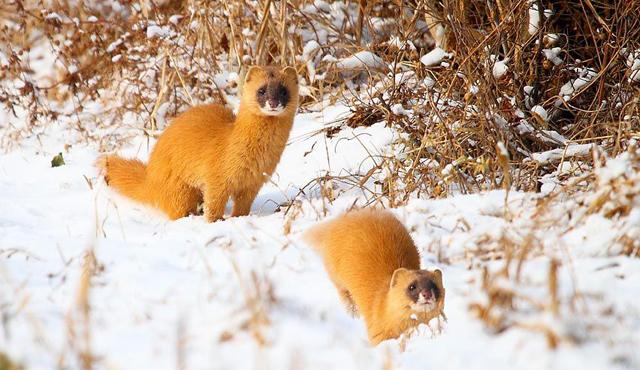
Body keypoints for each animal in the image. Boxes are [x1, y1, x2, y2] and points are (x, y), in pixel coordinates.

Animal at [97, 66, 300, 223]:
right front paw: (215, 221)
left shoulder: (254, 182)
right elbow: (214, 202)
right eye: (261, 90)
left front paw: (238, 218)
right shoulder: (215, 177)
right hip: (179, 187)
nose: (273, 102)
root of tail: (150, 176)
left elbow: (243, 205)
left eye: (283, 90)